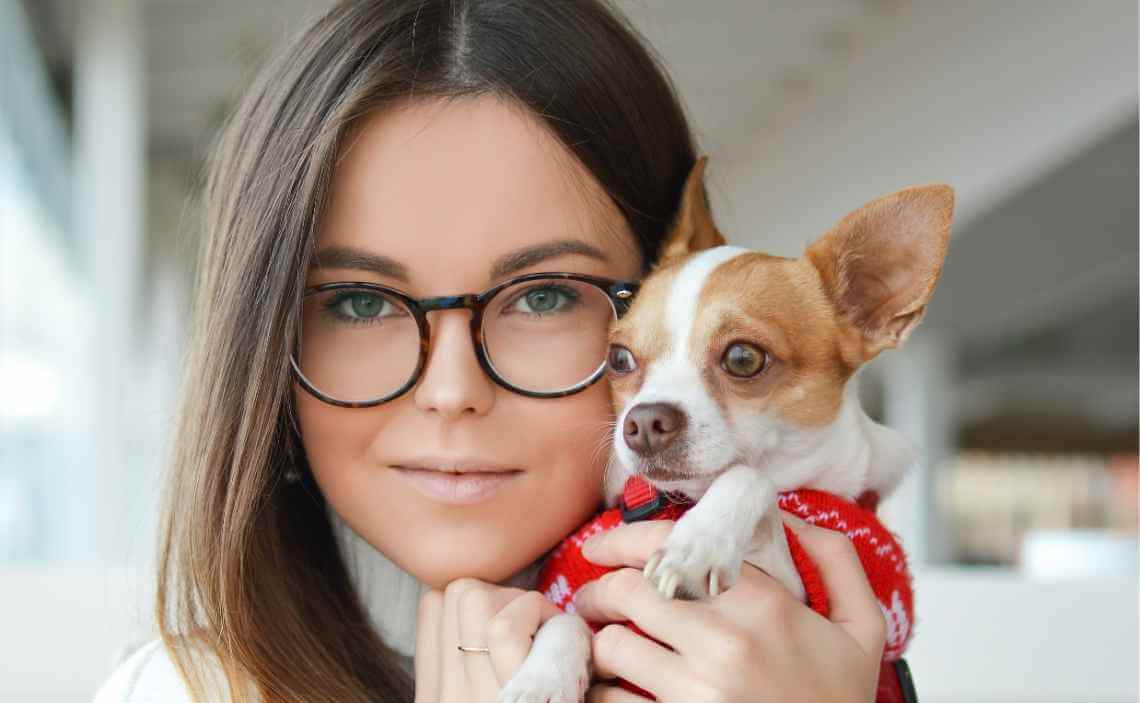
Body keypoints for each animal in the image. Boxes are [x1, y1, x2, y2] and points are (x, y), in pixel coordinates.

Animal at [499, 156, 953, 697]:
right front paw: (541, 679)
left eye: (743, 358)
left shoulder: (800, 594)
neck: (676, 502)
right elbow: (565, 619)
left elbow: (747, 478)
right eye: (619, 358)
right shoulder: (584, 600)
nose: (643, 421)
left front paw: (697, 544)